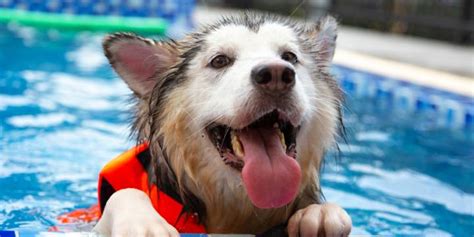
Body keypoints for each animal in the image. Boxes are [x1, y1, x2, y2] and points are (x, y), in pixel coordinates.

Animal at [93, 12, 352, 237]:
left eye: (289, 57)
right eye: (219, 61)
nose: (277, 75)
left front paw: (318, 212)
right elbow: (124, 194)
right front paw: (143, 222)